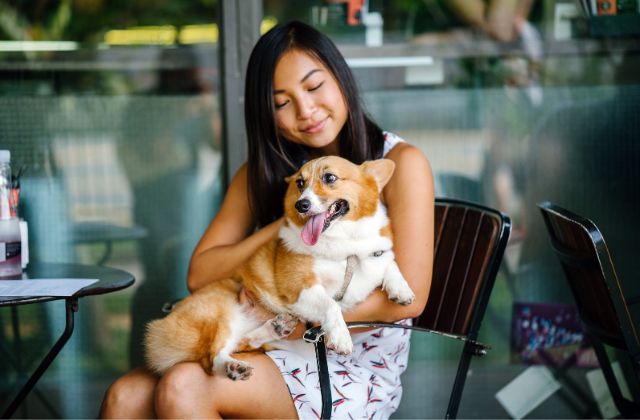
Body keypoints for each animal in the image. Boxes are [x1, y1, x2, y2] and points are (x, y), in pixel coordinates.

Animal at [144, 157, 416, 380]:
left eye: (330, 178)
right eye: (300, 183)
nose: (301, 205)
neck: (345, 246)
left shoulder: (375, 254)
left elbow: (390, 263)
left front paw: (401, 290)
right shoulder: (301, 288)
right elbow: (331, 305)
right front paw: (340, 336)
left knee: (242, 342)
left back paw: (273, 330)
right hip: (220, 311)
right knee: (210, 358)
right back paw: (232, 367)